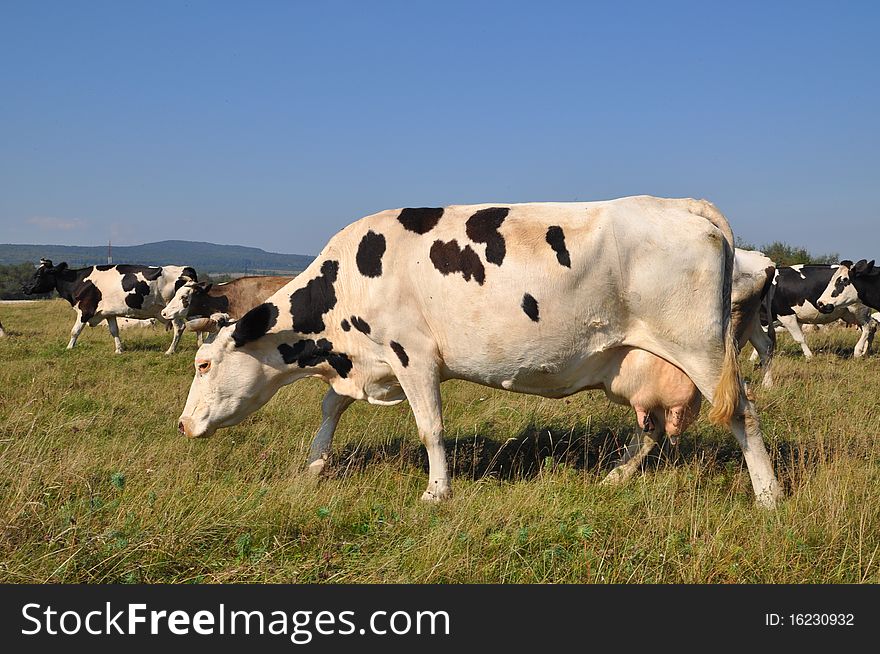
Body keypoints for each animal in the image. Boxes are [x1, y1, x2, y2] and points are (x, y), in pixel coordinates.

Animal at [28, 258, 199, 356]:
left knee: (180, 327)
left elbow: (75, 331)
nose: (25, 287)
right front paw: (119, 350)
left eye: (39, 275)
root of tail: (186, 268)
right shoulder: (108, 313)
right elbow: (114, 331)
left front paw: (69, 348)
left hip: (173, 310)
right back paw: (199, 345)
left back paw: (170, 351)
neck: (78, 281)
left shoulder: (85, 310)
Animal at [175, 197, 780, 510]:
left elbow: (430, 428)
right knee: (651, 426)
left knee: (744, 414)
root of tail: (678, 205)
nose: (182, 425)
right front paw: (313, 468)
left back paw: (768, 497)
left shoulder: (411, 353)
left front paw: (436, 492)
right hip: (638, 359)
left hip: (702, 349)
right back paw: (615, 478)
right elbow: (329, 409)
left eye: (203, 365)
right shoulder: (364, 360)